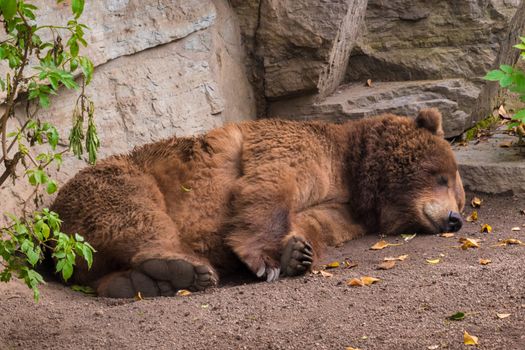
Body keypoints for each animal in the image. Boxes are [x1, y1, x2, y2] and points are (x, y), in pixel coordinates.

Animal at [51, 108, 462, 296]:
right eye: (440, 175)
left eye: (458, 194)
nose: (455, 219)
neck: (353, 173)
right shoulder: (292, 146)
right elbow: (271, 184)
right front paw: (266, 259)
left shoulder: (344, 209)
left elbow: (316, 223)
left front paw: (297, 253)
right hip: (118, 178)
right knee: (134, 211)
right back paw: (181, 268)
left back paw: (137, 282)